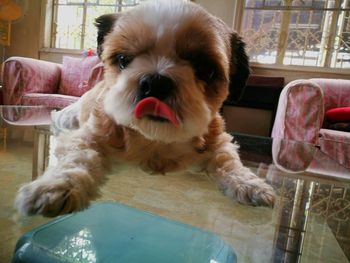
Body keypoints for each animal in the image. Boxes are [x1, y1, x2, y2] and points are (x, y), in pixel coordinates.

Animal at [15, 0, 274, 219]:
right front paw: (55, 187)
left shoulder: (217, 141)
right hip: (70, 117)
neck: (155, 141)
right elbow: (78, 160)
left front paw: (248, 183)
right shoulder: (89, 136)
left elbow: (227, 161)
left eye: (206, 70)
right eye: (123, 59)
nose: (156, 82)